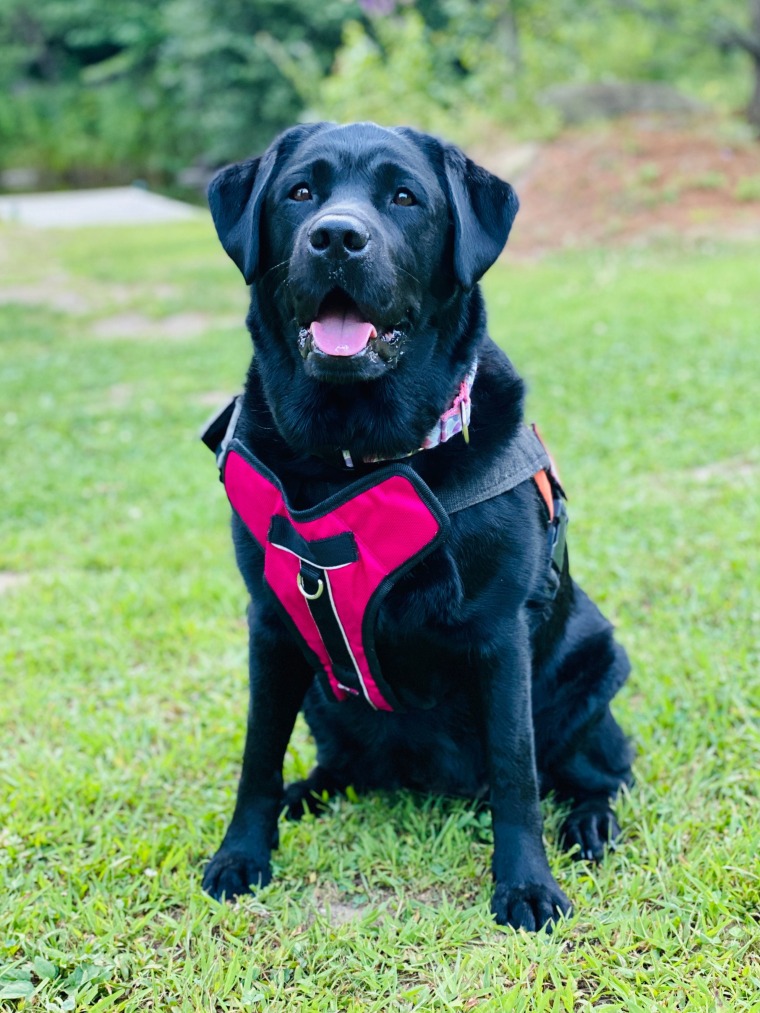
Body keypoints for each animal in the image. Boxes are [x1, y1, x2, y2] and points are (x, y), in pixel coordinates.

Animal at [199, 122, 632, 927]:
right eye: (300, 192)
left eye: (404, 197)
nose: (337, 236)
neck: (352, 456)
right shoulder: (270, 624)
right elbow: (257, 757)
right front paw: (242, 854)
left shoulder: (500, 635)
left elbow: (518, 772)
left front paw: (526, 886)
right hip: (322, 691)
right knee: (343, 764)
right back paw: (309, 794)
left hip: (595, 666)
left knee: (601, 770)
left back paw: (590, 821)